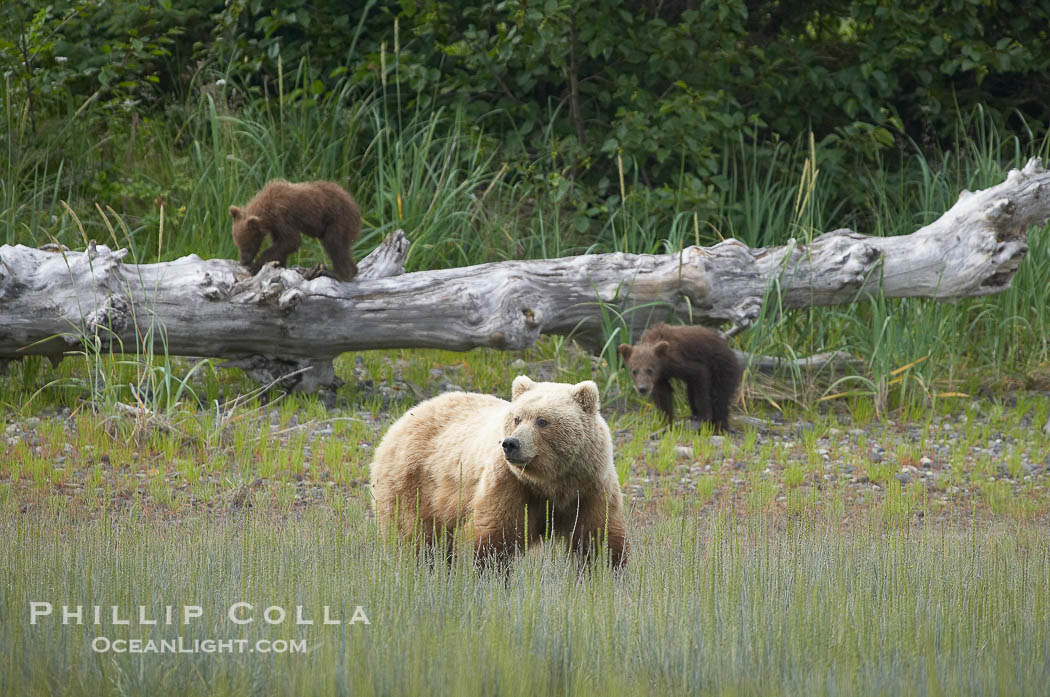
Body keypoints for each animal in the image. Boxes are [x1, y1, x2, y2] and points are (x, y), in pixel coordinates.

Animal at [229, 179, 361, 282]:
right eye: (237, 244)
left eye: (246, 244)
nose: (243, 261)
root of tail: (355, 206)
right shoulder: (275, 227)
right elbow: (280, 244)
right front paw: (279, 264)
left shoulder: (282, 217)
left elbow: (291, 240)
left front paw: (255, 266)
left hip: (337, 220)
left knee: (334, 244)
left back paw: (337, 273)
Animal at [369, 376, 628, 567]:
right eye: (517, 418)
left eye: (542, 421)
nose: (511, 444)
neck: (552, 483)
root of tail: (404, 417)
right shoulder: (510, 483)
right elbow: (495, 536)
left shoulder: (590, 487)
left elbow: (599, 537)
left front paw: (606, 573)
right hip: (413, 484)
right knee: (413, 535)